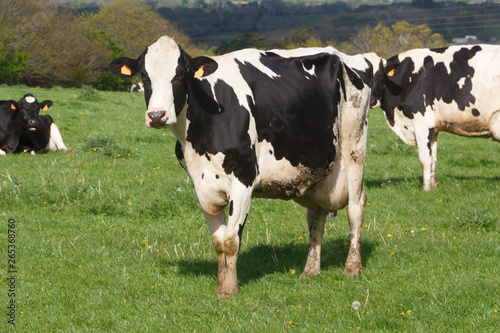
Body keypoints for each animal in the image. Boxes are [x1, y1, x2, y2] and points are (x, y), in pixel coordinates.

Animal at [108, 35, 372, 296]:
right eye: (144, 75)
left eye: (181, 74)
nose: (156, 115)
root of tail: (340, 54)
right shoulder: (200, 185)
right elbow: (218, 242)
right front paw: (220, 283)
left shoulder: (244, 180)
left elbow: (231, 240)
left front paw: (229, 289)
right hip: (316, 169)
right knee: (315, 218)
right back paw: (310, 271)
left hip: (354, 147)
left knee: (355, 209)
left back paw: (352, 268)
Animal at [370, 44, 500, 191]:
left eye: (380, 77)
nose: (370, 100)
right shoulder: (433, 128)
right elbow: (433, 159)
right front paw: (433, 187)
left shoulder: (422, 123)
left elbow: (425, 159)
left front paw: (426, 189)